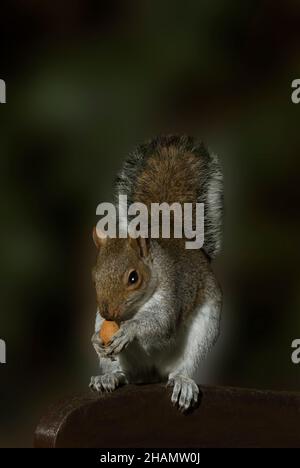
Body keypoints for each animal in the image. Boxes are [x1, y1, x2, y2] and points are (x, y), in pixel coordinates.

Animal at [90, 134, 224, 410]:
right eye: (94, 276)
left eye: (133, 278)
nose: (108, 313)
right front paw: (96, 339)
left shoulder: (173, 291)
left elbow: (161, 324)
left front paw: (130, 330)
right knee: (124, 373)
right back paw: (109, 376)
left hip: (202, 333)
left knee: (185, 365)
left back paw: (183, 382)